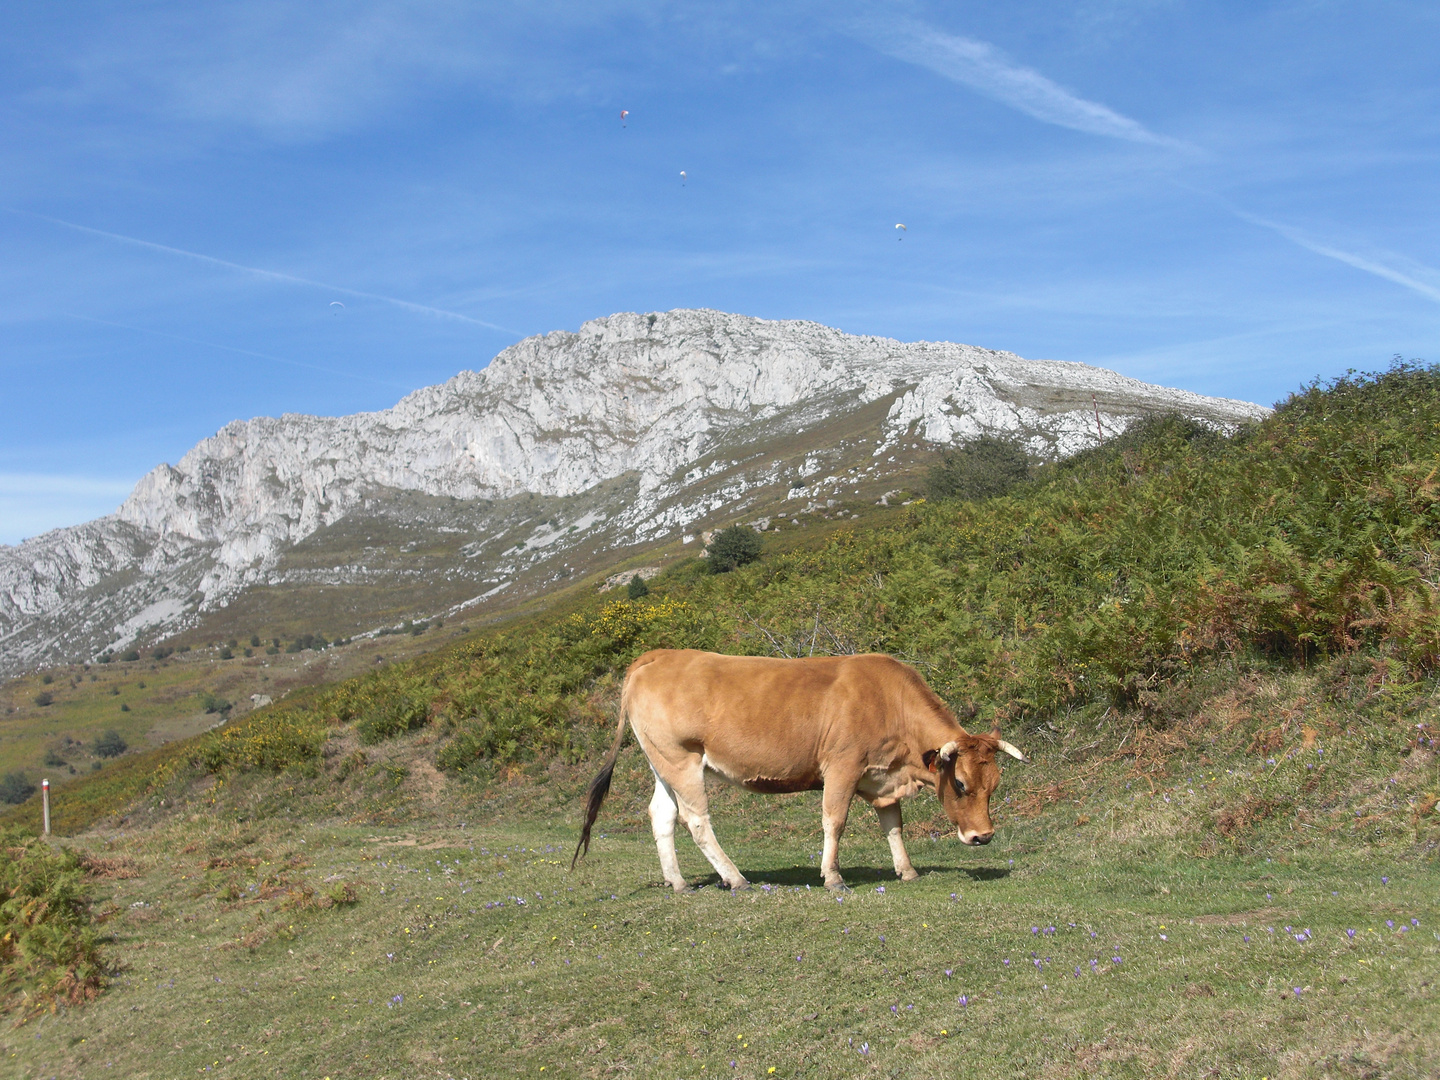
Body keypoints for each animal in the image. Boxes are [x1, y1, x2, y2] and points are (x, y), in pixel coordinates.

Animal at [567, 650, 1031, 898]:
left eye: (995, 785)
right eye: (960, 784)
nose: (983, 836)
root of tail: (658, 655)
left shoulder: (880, 776)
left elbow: (893, 824)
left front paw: (907, 870)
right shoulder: (842, 766)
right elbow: (835, 821)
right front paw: (833, 877)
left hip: (662, 762)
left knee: (661, 816)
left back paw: (678, 882)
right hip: (682, 760)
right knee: (695, 820)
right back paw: (736, 878)